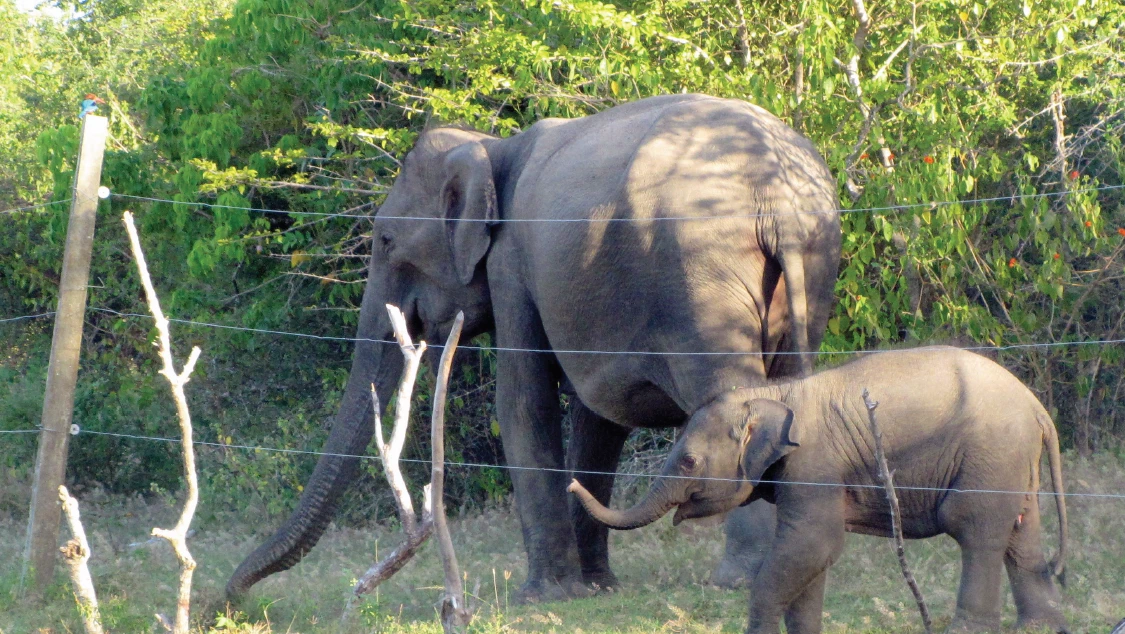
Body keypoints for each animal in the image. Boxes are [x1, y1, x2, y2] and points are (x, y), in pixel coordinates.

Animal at [228, 91, 841, 602]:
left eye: (384, 240)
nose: (231, 599)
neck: (492, 148)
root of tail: (776, 197)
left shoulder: (511, 261)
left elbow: (524, 401)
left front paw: (543, 597)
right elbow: (598, 417)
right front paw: (596, 589)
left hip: (701, 275)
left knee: (733, 400)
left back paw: (738, 579)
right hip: (812, 268)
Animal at [576, 346, 1066, 634]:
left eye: (689, 461)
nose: (571, 481)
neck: (772, 393)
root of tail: (1037, 408)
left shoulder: (814, 466)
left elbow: (812, 543)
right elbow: (815, 556)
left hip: (991, 455)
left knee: (976, 532)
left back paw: (968, 630)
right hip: (1012, 462)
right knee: (1021, 535)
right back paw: (1038, 627)